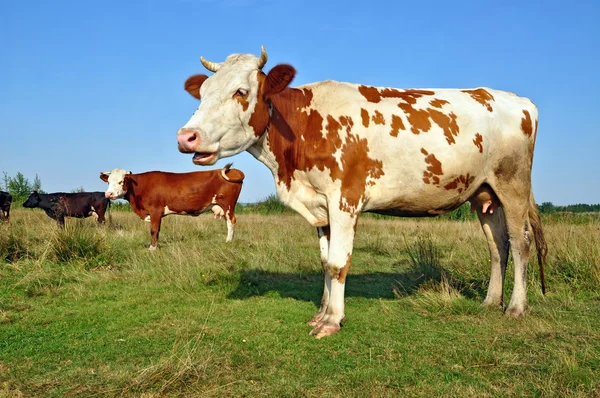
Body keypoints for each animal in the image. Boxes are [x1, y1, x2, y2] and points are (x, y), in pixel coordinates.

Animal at [101, 163, 244, 250]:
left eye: (121, 181)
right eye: (108, 182)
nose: (108, 194)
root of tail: (233, 171)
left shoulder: (155, 210)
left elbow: (153, 230)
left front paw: (152, 248)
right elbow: (157, 230)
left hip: (228, 205)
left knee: (231, 221)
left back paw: (228, 241)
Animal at [175, 47, 548, 338]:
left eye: (240, 91)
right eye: (202, 92)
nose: (186, 136)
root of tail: (516, 99)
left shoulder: (344, 199)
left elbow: (338, 263)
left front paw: (332, 321)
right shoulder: (320, 204)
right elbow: (325, 262)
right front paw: (322, 312)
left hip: (513, 185)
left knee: (520, 243)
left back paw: (516, 307)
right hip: (485, 194)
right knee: (497, 247)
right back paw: (489, 302)